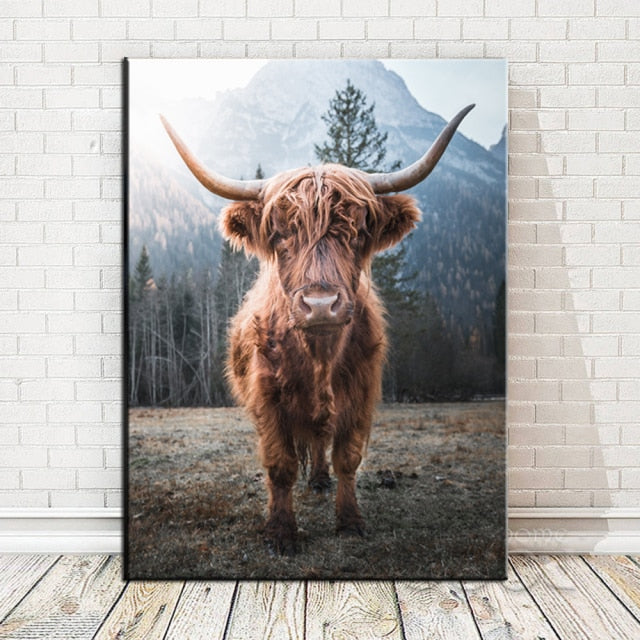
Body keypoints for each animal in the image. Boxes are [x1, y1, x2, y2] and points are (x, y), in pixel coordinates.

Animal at [160, 104, 474, 555]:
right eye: (279, 235)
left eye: (358, 232)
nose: (321, 305)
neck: (319, 358)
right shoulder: (267, 397)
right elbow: (280, 465)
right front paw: (280, 531)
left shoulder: (360, 393)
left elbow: (347, 458)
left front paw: (350, 521)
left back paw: (321, 480)